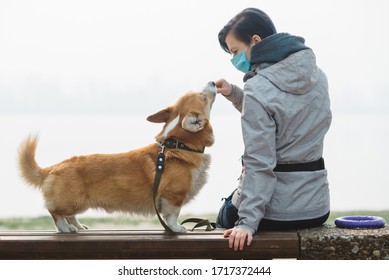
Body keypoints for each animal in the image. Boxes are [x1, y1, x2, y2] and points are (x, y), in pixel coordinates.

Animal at [19, 82, 215, 233]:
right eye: (203, 97)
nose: (213, 82)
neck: (178, 144)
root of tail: (53, 168)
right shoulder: (173, 197)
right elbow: (173, 216)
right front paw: (177, 229)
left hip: (77, 204)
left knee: (70, 216)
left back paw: (78, 226)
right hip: (73, 202)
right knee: (55, 212)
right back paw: (65, 228)